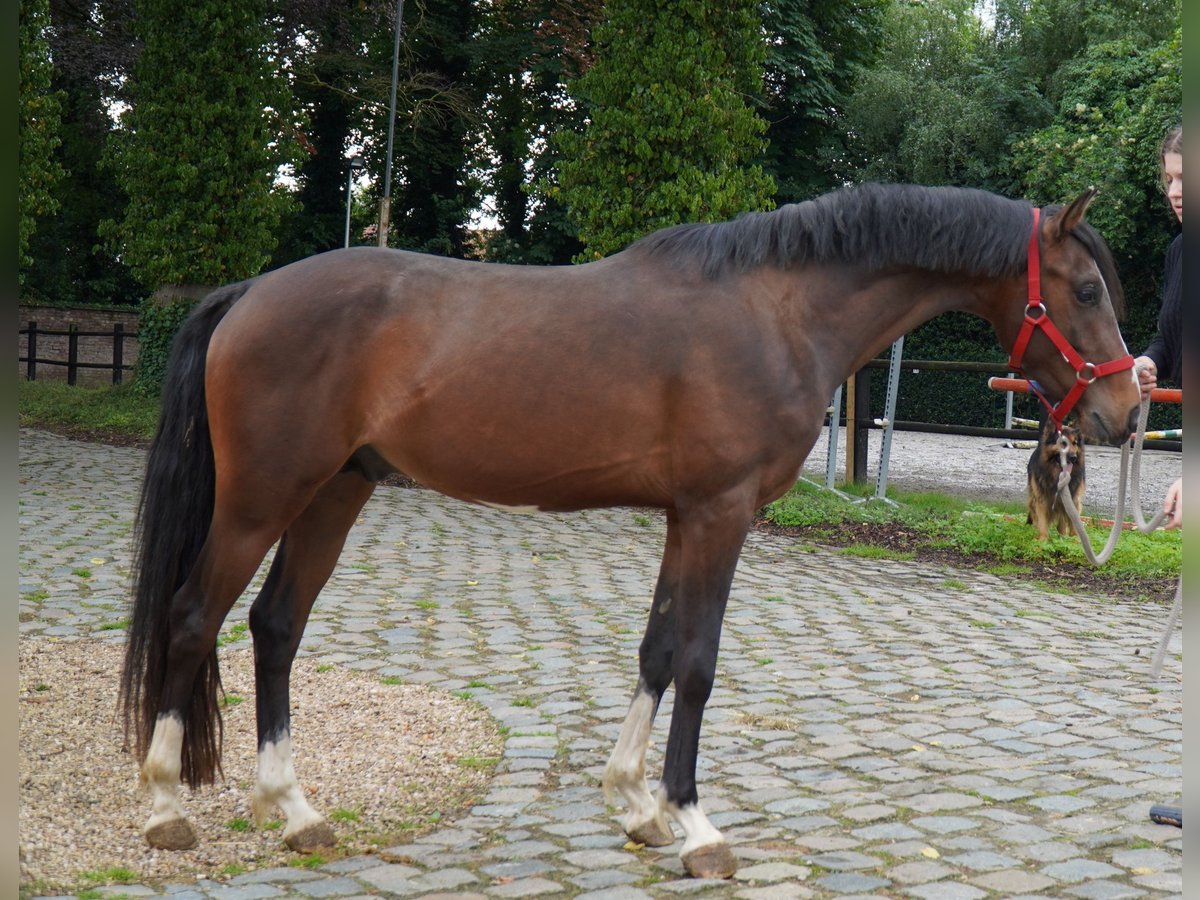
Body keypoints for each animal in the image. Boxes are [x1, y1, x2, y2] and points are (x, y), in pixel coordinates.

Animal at [121, 184, 1142, 883]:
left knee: (275, 626)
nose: (1127, 413)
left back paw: (294, 811)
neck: (777, 311)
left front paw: (636, 806)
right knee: (193, 616)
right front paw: (696, 827)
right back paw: (166, 806)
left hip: (335, 492)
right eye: (1088, 288)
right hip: (262, 500)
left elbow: (655, 650)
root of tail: (249, 293)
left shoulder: (686, 517)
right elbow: (696, 663)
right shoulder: (721, 513)